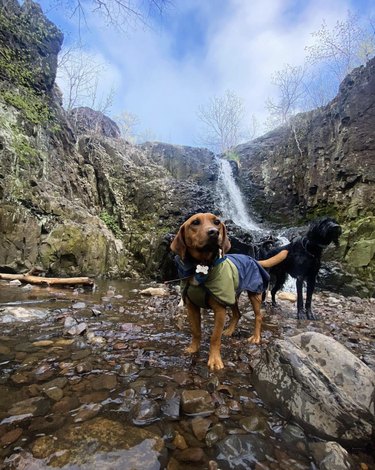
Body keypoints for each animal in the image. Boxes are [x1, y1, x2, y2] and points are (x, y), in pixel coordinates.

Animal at [171, 213, 288, 370]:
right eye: (195, 222)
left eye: (217, 222)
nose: (214, 232)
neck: (202, 267)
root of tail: (253, 259)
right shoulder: (192, 308)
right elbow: (196, 332)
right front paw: (193, 349)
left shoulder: (219, 310)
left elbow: (215, 337)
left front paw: (215, 360)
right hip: (232, 296)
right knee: (237, 314)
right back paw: (230, 330)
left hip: (254, 295)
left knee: (258, 316)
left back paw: (256, 337)